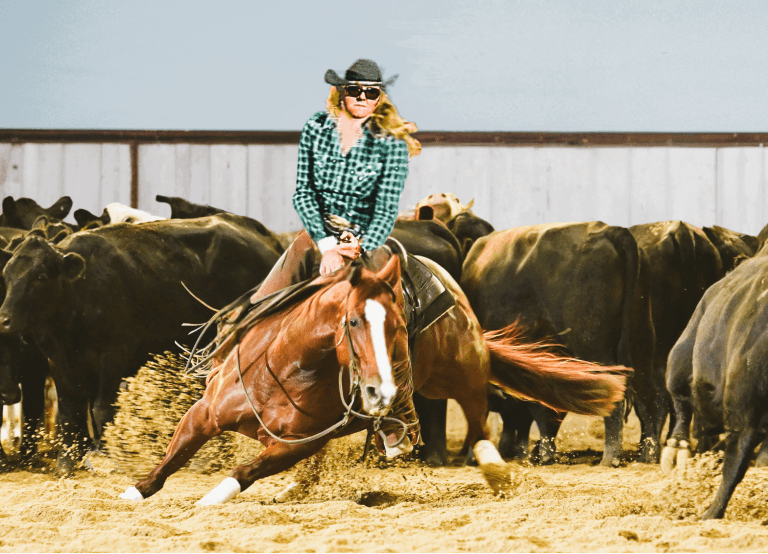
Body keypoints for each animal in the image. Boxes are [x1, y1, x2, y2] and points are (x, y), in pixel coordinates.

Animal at [0, 213, 284, 472]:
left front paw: (107, 459)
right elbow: (70, 410)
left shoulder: (114, 356)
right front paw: (66, 463)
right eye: (7, 274)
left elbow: (101, 409)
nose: (4, 319)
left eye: (40, 276)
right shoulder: (60, 360)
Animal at [120, 250, 632, 504]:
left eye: (401, 326)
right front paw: (132, 493)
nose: (378, 390)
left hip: (459, 369)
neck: (284, 370)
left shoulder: (293, 445)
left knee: (477, 414)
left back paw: (494, 469)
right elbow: (171, 459)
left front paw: (207, 503)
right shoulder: (205, 412)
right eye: (352, 321)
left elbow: (243, 471)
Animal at [460, 220, 656, 466]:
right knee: (647, 395)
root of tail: (609, 230)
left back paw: (610, 457)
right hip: (641, 338)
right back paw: (647, 455)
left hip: (594, 345)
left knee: (615, 394)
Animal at [664, 246, 768, 516]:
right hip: (680, 358)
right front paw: (711, 513)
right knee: (681, 404)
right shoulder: (744, 413)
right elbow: (734, 465)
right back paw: (678, 448)